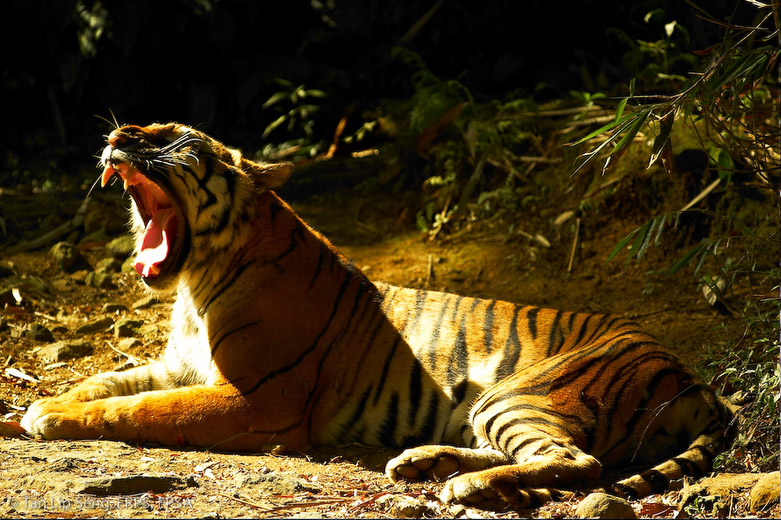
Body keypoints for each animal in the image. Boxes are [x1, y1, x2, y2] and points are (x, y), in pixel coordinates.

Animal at [21, 122, 734, 507]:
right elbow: (103, 381)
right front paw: (41, 405)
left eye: (169, 136)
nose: (115, 136)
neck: (196, 281)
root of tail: (694, 378)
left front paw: (48, 419)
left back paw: (462, 487)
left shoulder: (257, 399)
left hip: (518, 394)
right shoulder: (179, 366)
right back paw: (422, 463)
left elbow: (139, 409)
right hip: (493, 405)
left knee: (580, 463)